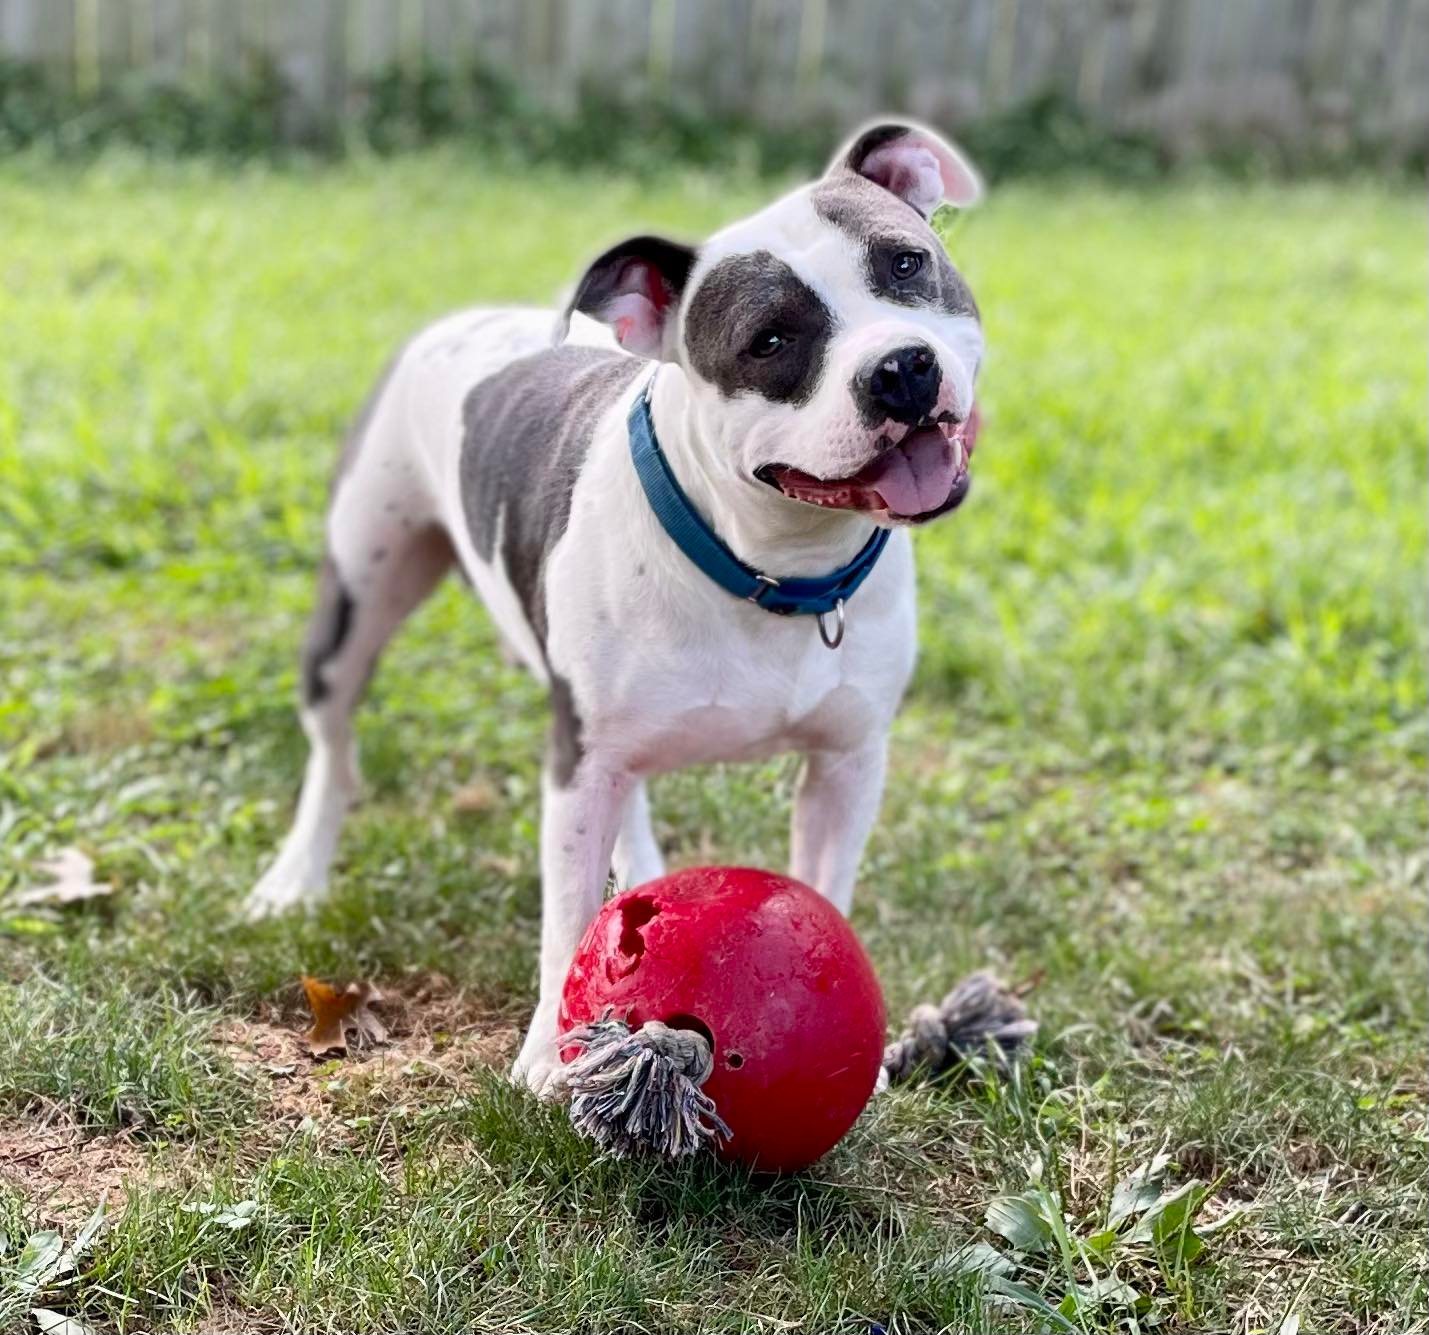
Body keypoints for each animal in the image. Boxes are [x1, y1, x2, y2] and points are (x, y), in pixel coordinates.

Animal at [245, 120, 983, 1092]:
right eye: (770, 340)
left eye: (905, 264)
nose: (900, 367)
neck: (771, 567)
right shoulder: (577, 769)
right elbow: (564, 922)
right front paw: (546, 1061)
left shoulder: (847, 764)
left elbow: (827, 890)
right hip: (354, 607)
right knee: (333, 750)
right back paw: (296, 877)